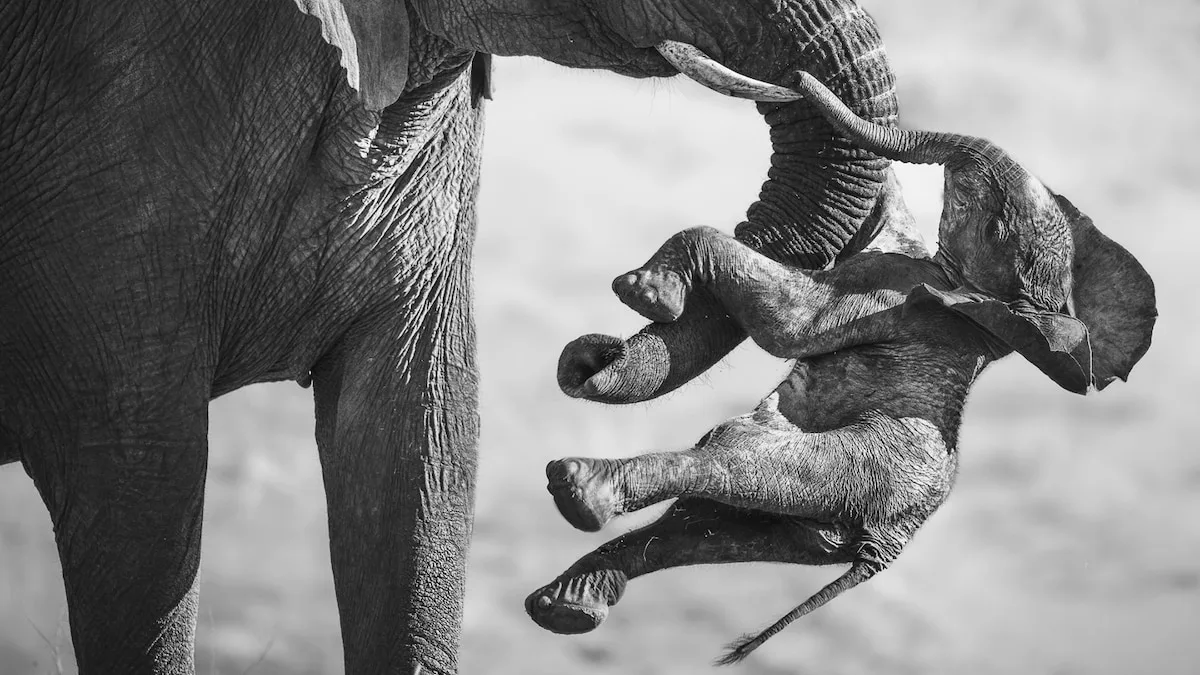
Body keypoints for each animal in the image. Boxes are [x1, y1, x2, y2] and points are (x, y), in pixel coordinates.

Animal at [524, 68, 1157, 663]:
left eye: (995, 222)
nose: (795, 80)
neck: (1026, 311)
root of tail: (887, 545)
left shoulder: (893, 293)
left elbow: (788, 324)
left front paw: (645, 294)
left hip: (856, 467)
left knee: (731, 463)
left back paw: (580, 491)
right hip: (817, 523)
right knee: (701, 529)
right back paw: (565, 605)